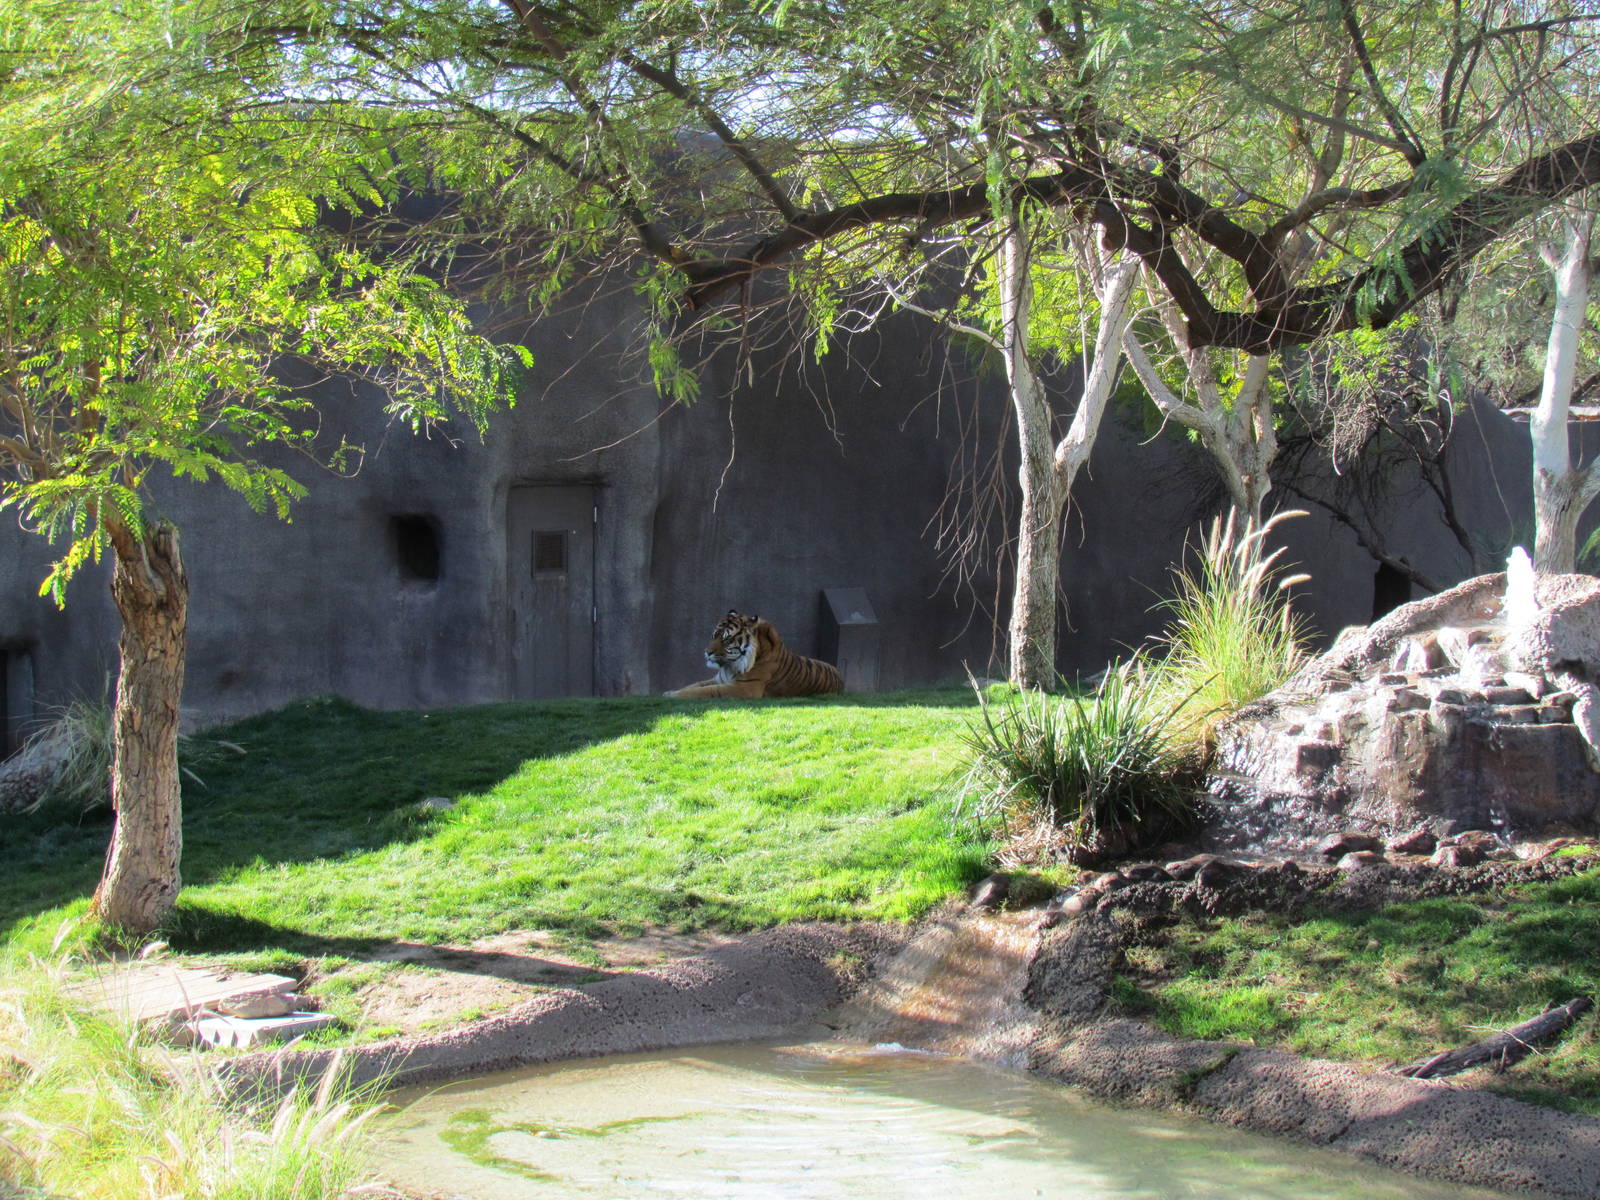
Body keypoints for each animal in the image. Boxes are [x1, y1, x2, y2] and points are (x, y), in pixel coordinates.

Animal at [666, 610, 844, 699]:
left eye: (727, 639)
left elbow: (704, 691)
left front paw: (673, 695)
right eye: (714, 636)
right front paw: (669, 692)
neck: (731, 665)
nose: (707, 652)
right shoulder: (718, 679)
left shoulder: (745, 688)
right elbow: (694, 686)